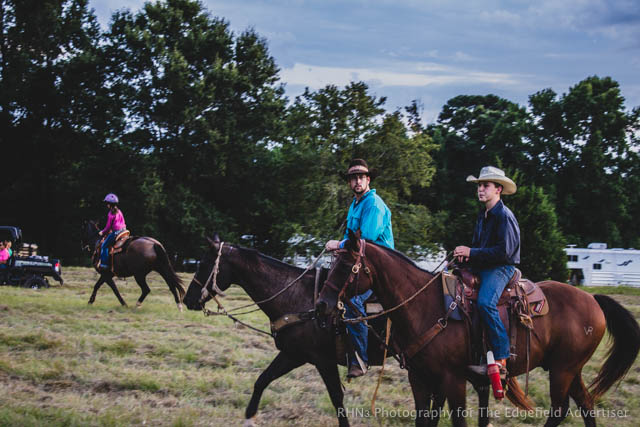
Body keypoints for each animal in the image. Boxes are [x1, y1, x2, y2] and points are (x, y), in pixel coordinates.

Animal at [316, 231, 640, 427]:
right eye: (333, 263)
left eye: (346, 267)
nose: (321, 305)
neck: (425, 305)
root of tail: (592, 299)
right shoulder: (419, 378)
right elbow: (424, 419)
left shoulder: (453, 379)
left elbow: (457, 419)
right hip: (569, 368)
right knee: (585, 403)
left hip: (563, 369)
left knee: (560, 409)